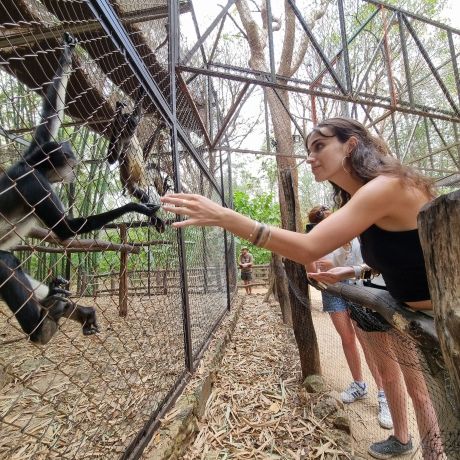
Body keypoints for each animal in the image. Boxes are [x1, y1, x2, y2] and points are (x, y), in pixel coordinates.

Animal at [106, 91, 167, 232]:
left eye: (133, 120)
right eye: (128, 121)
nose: (134, 122)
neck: (129, 135)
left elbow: (144, 156)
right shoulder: (122, 138)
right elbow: (111, 160)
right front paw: (117, 113)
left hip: (145, 177)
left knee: (153, 168)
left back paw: (163, 192)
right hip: (132, 186)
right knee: (145, 197)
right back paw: (154, 217)